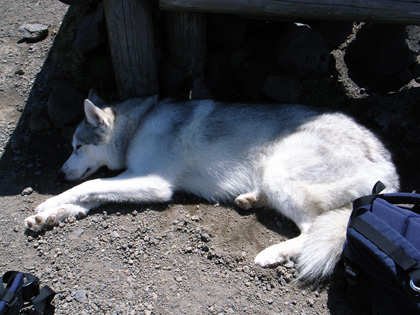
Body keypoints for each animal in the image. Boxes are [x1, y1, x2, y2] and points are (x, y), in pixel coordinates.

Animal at [24, 91, 398, 282]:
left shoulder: (152, 182)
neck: (137, 126)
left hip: (281, 173)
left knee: (312, 229)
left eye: (77, 146)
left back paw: (274, 253)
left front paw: (50, 203)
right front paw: (50, 215)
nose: (59, 174)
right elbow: (92, 194)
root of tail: (389, 170)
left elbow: (91, 185)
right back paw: (249, 198)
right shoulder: (131, 178)